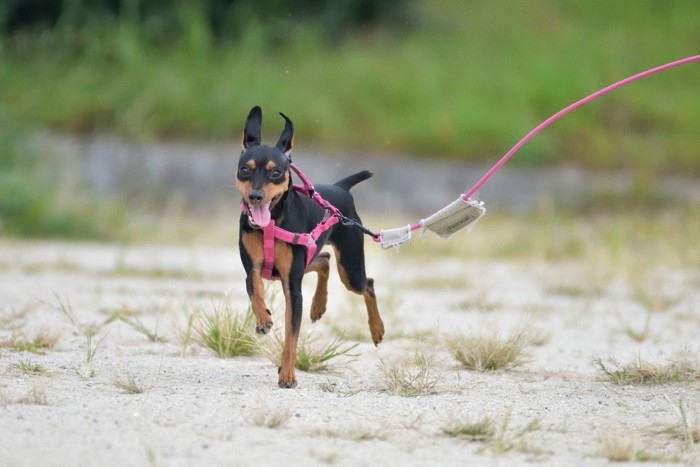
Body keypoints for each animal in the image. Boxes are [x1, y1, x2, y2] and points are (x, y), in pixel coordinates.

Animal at [238, 106, 386, 388]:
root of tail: (340, 188)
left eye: (275, 172)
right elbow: (256, 293)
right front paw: (263, 318)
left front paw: (287, 374)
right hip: (310, 257)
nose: (255, 196)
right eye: (244, 170)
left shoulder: (293, 289)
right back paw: (319, 305)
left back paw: (377, 330)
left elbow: (292, 336)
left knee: (368, 284)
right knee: (325, 258)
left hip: (350, 269)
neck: (271, 223)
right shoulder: (253, 270)